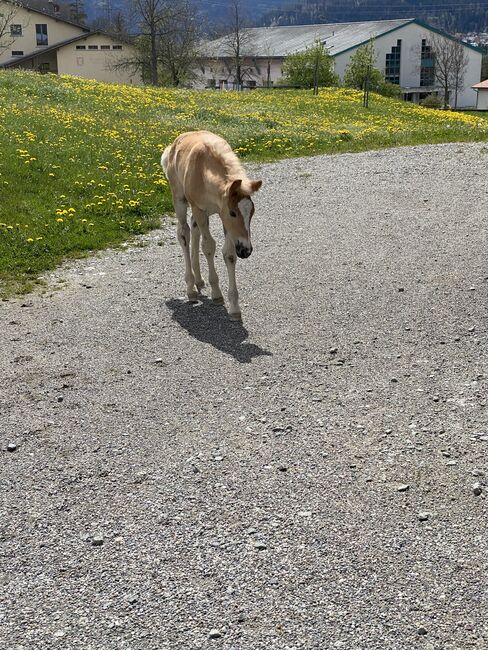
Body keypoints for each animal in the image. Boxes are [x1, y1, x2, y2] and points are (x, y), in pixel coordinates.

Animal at [163, 130, 264, 318]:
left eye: (252, 212)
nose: (246, 250)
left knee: (194, 229)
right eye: (233, 213)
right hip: (180, 199)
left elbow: (229, 254)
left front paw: (234, 307)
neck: (205, 171)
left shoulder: (222, 218)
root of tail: (174, 144)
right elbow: (209, 246)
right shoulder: (200, 209)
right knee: (184, 233)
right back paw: (191, 288)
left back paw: (199, 280)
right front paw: (216, 293)